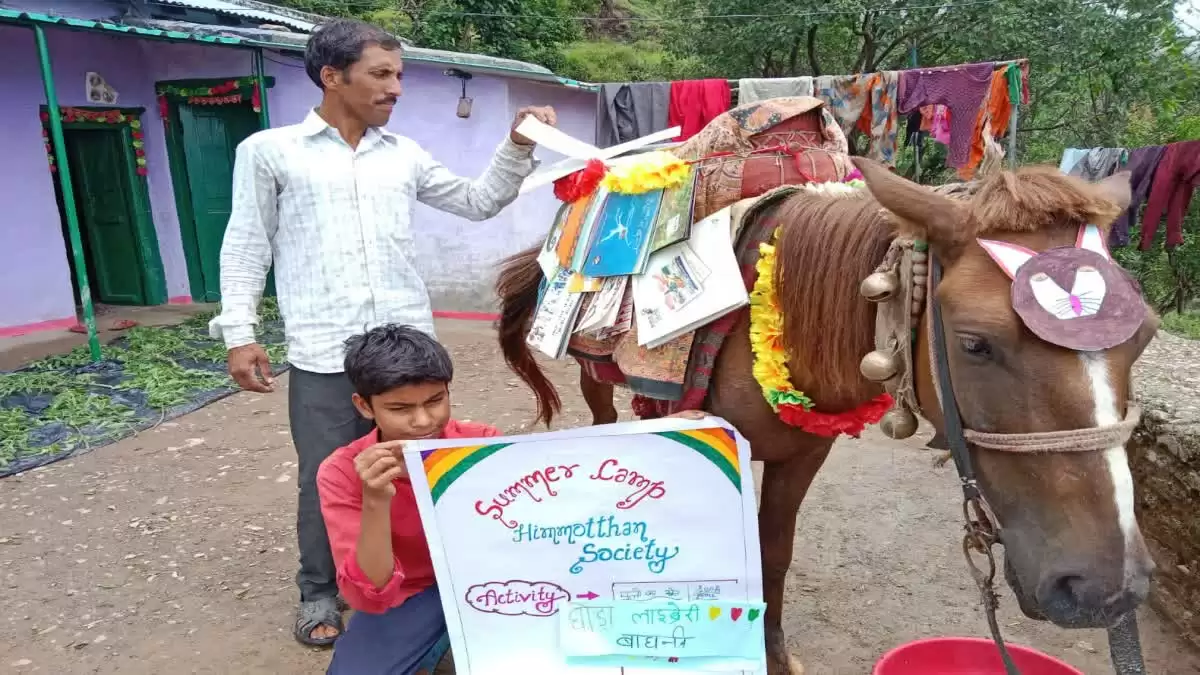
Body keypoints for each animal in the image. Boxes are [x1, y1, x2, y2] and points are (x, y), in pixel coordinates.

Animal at [492, 158, 1156, 672]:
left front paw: (774, 652)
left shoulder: (804, 454)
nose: (1105, 588)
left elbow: (774, 551)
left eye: (1144, 336)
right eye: (974, 343)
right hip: (594, 377)